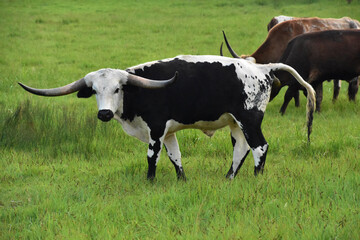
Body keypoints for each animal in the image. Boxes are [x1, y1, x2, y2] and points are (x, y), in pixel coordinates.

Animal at [19, 55, 316, 181]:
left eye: (117, 89)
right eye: (94, 91)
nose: (104, 113)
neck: (137, 92)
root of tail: (262, 68)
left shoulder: (156, 129)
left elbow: (153, 156)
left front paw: (149, 181)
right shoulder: (170, 131)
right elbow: (175, 156)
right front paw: (181, 180)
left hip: (249, 119)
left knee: (259, 147)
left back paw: (256, 177)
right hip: (235, 122)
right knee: (241, 149)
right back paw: (229, 178)